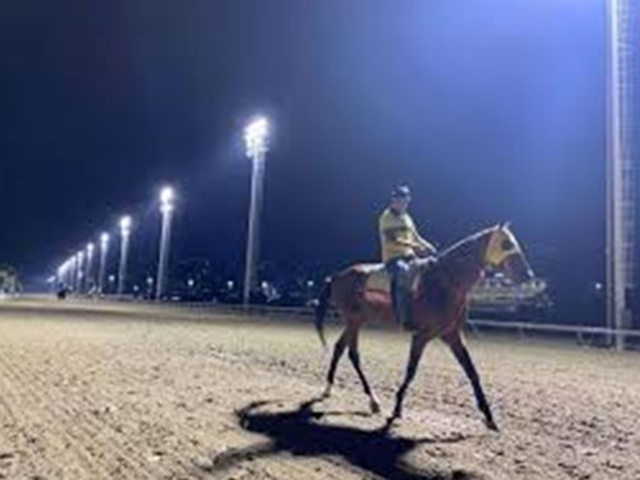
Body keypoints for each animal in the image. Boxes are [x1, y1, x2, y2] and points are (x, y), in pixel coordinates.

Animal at [313, 223, 534, 431]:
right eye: (507, 244)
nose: (528, 274)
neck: (444, 282)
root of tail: (336, 276)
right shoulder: (422, 335)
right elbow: (411, 370)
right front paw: (397, 409)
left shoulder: (452, 334)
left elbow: (471, 371)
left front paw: (489, 417)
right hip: (354, 321)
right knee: (353, 354)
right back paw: (372, 400)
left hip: (356, 321)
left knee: (339, 348)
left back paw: (328, 389)